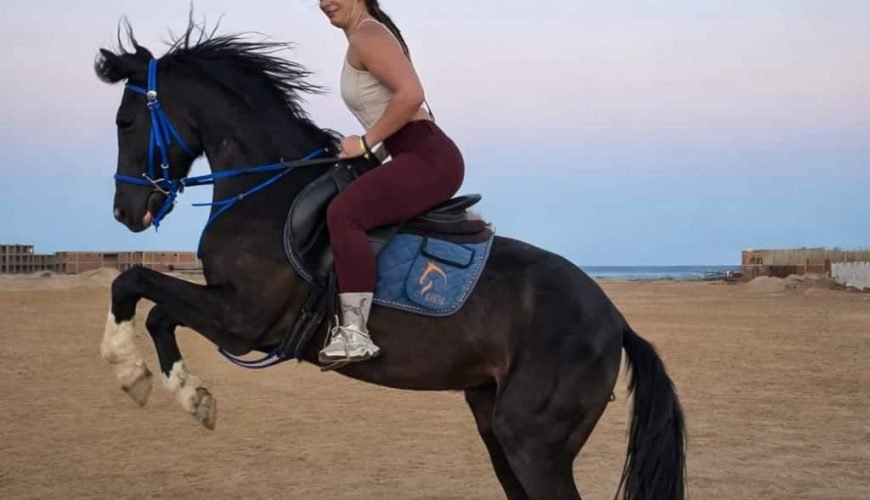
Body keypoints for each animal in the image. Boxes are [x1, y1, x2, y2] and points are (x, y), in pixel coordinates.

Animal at [95, 21, 686, 500]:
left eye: (125, 121)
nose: (125, 211)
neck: (267, 191)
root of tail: (615, 320)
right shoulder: (229, 315)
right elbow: (155, 308)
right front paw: (188, 393)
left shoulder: (242, 322)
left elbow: (133, 282)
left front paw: (131, 372)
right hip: (495, 425)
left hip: (532, 444)